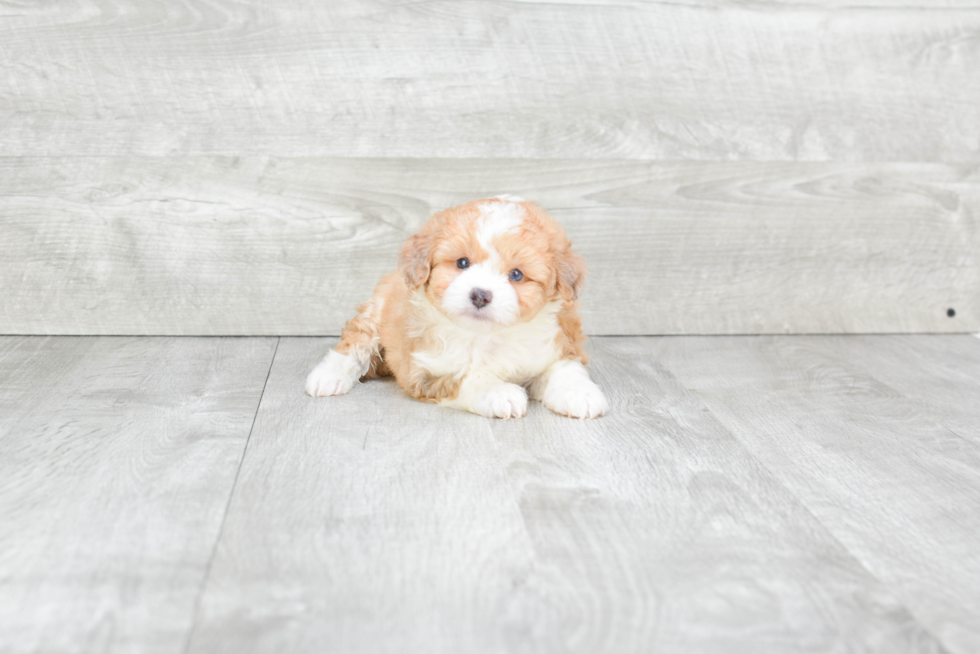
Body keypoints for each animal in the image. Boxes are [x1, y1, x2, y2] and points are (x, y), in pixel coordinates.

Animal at [306, 196, 608, 420]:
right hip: (373, 316)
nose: (480, 295)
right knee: (354, 345)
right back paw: (327, 377)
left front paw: (579, 394)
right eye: (462, 263)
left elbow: (566, 368)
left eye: (516, 275)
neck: (488, 336)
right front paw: (499, 393)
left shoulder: (556, 344)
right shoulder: (426, 371)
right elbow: (467, 378)